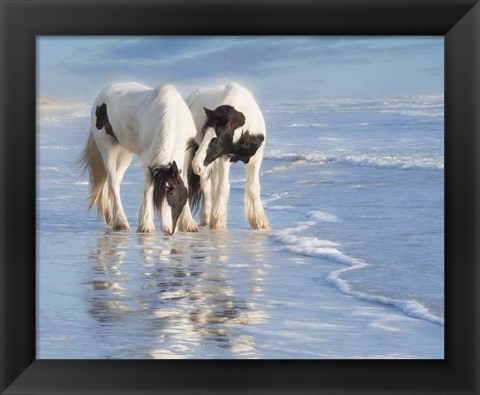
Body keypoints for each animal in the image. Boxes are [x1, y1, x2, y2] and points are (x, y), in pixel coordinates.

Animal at [79, 81, 200, 234]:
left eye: (172, 193)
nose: (168, 229)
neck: (173, 116)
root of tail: (103, 94)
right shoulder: (150, 156)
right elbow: (148, 187)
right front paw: (146, 225)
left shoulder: (186, 153)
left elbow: (184, 180)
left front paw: (189, 224)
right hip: (108, 148)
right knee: (113, 183)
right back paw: (120, 221)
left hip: (124, 153)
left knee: (116, 180)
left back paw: (112, 217)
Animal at [186, 84, 270, 232]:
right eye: (204, 134)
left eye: (216, 139)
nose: (196, 165)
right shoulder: (223, 159)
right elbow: (223, 188)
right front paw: (218, 221)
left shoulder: (256, 159)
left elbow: (253, 188)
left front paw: (259, 221)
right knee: (206, 185)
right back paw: (206, 217)